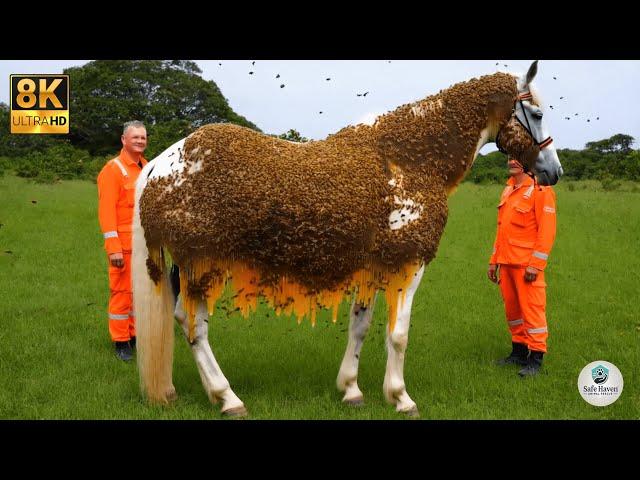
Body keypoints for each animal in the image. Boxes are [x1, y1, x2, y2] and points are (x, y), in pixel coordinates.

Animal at [132, 62, 564, 418]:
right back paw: (228, 398)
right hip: (201, 266)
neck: (409, 158)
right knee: (193, 325)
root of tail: (161, 162)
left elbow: (360, 326)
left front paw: (351, 390)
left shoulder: (373, 268)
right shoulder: (409, 265)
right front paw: (401, 397)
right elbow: (398, 335)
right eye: (537, 114)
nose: (553, 171)